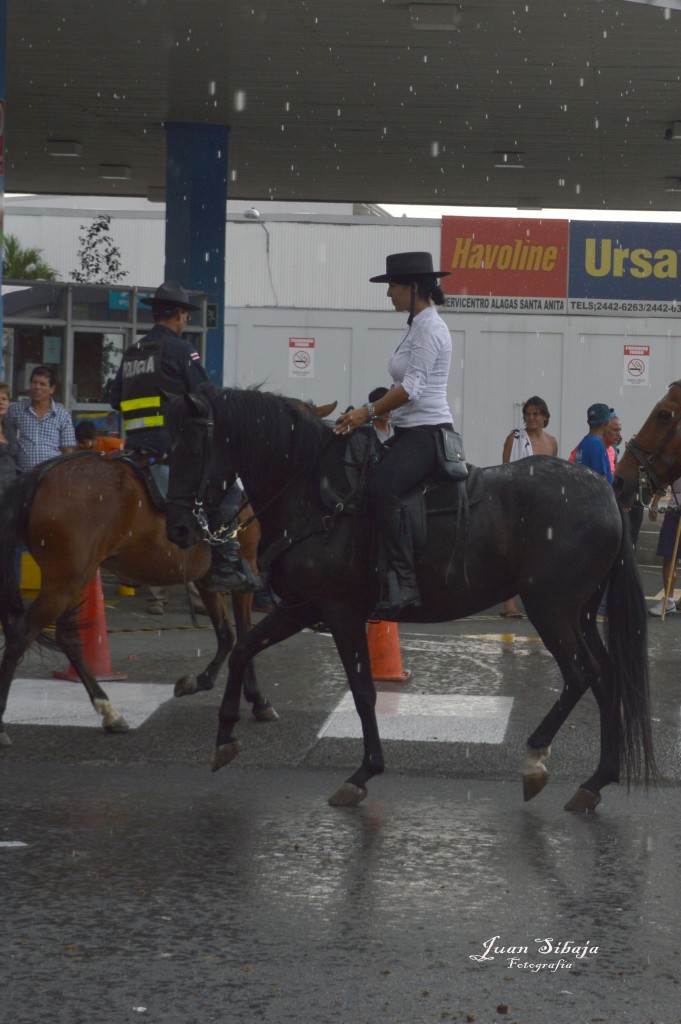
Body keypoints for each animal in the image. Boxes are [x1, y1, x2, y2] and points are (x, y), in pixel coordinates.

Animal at [0, 452, 274, 749]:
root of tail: (44, 473)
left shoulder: (208, 581)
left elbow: (228, 636)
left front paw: (202, 682)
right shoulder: (246, 571)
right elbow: (244, 636)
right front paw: (257, 700)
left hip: (76, 580)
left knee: (68, 639)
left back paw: (110, 713)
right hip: (65, 583)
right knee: (20, 636)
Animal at [163, 387, 655, 811]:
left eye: (191, 448)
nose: (179, 529)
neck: (314, 494)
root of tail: (606, 493)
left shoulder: (340, 613)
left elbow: (363, 692)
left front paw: (363, 773)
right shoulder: (299, 607)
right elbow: (244, 649)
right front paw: (225, 736)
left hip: (551, 610)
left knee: (580, 674)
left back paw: (535, 757)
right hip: (581, 614)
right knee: (606, 679)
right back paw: (595, 781)